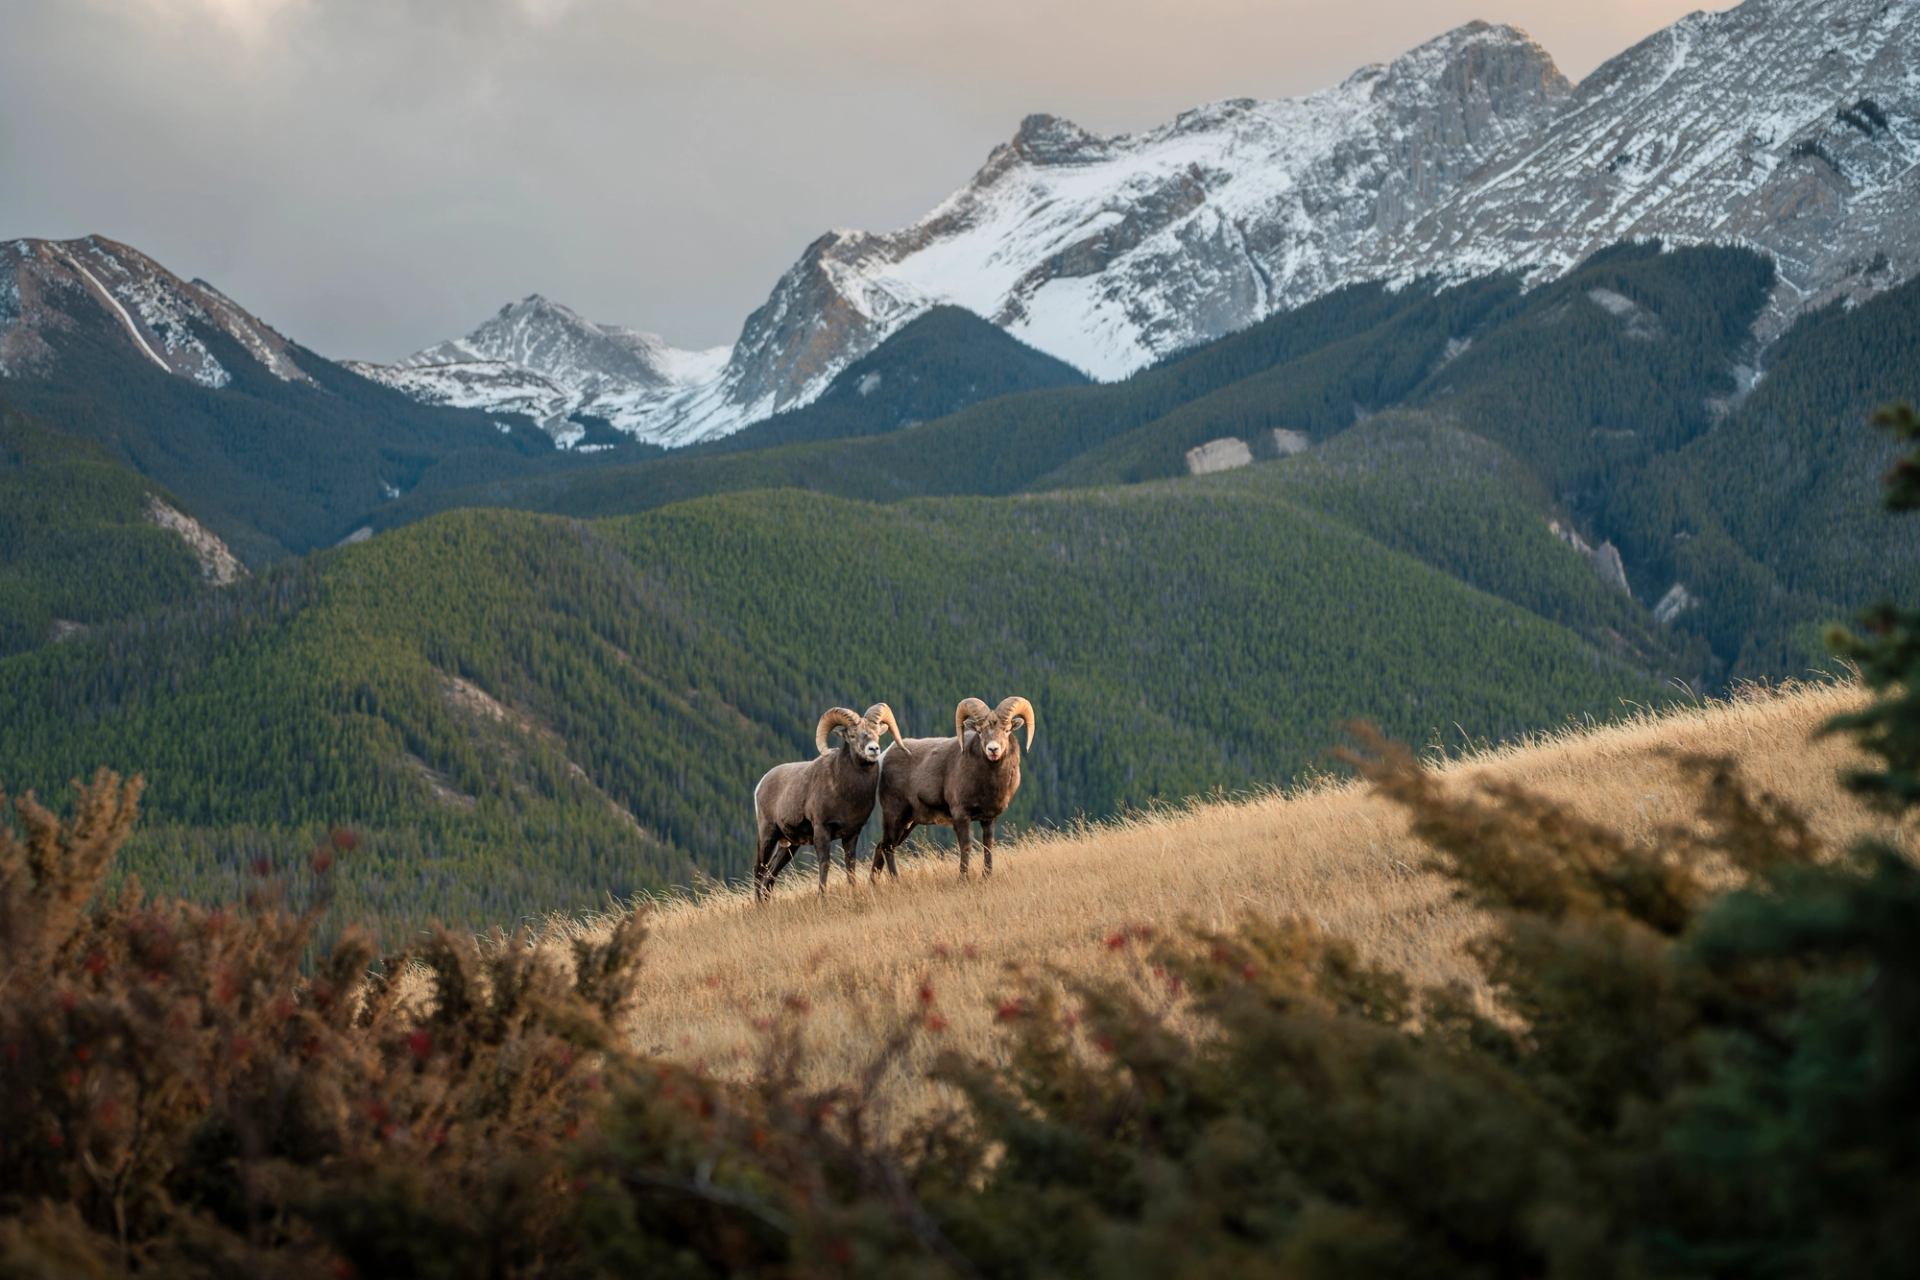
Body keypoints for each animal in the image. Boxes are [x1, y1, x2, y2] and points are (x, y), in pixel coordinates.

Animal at [752, 703, 908, 899]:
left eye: (877, 733)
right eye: (852, 735)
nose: (873, 749)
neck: (846, 792)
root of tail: (760, 785)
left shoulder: (852, 834)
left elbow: (850, 864)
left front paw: (853, 892)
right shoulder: (822, 829)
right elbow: (824, 863)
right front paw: (822, 898)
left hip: (789, 845)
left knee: (771, 874)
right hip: (768, 835)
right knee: (759, 870)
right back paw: (759, 904)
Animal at [872, 695, 1035, 881]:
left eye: (1007, 730)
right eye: (980, 731)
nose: (993, 749)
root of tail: (884, 756)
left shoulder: (988, 818)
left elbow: (988, 846)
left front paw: (986, 877)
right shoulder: (961, 815)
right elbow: (966, 846)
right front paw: (963, 880)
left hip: (908, 823)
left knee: (881, 847)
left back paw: (874, 883)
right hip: (895, 816)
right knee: (887, 847)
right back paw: (896, 881)